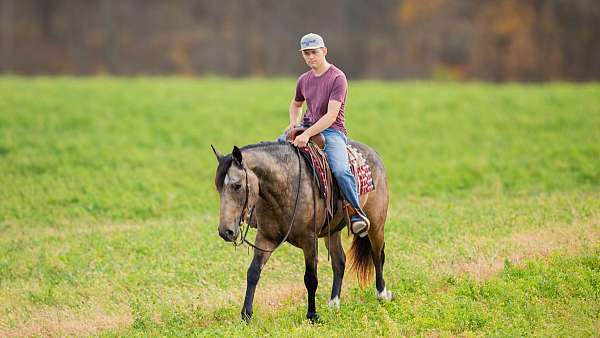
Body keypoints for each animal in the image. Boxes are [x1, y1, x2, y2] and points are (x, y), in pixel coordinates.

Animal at [212, 139, 394, 322]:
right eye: (218, 187)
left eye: (237, 185)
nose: (225, 232)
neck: (285, 187)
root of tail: (374, 154)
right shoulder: (265, 238)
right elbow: (253, 272)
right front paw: (246, 315)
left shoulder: (309, 240)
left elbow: (311, 278)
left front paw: (312, 315)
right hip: (332, 232)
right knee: (339, 261)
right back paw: (334, 303)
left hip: (376, 224)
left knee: (377, 255)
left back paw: (382, 295)